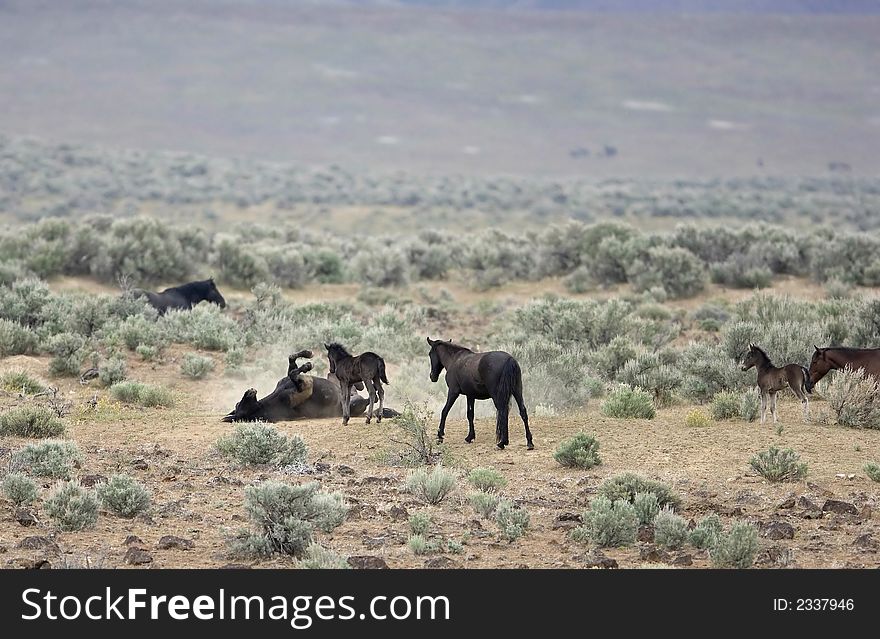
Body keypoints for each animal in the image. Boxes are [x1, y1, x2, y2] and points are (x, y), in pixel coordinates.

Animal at [222, 350, 400, 424]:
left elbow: (291, 363)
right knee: (372, 397)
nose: (250, 390)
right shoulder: (305, 387)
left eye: (238, 403)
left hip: (340, 381)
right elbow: (294, 372)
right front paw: (307, 365)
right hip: (355, 402)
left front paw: (307, 355)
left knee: (360, 387)